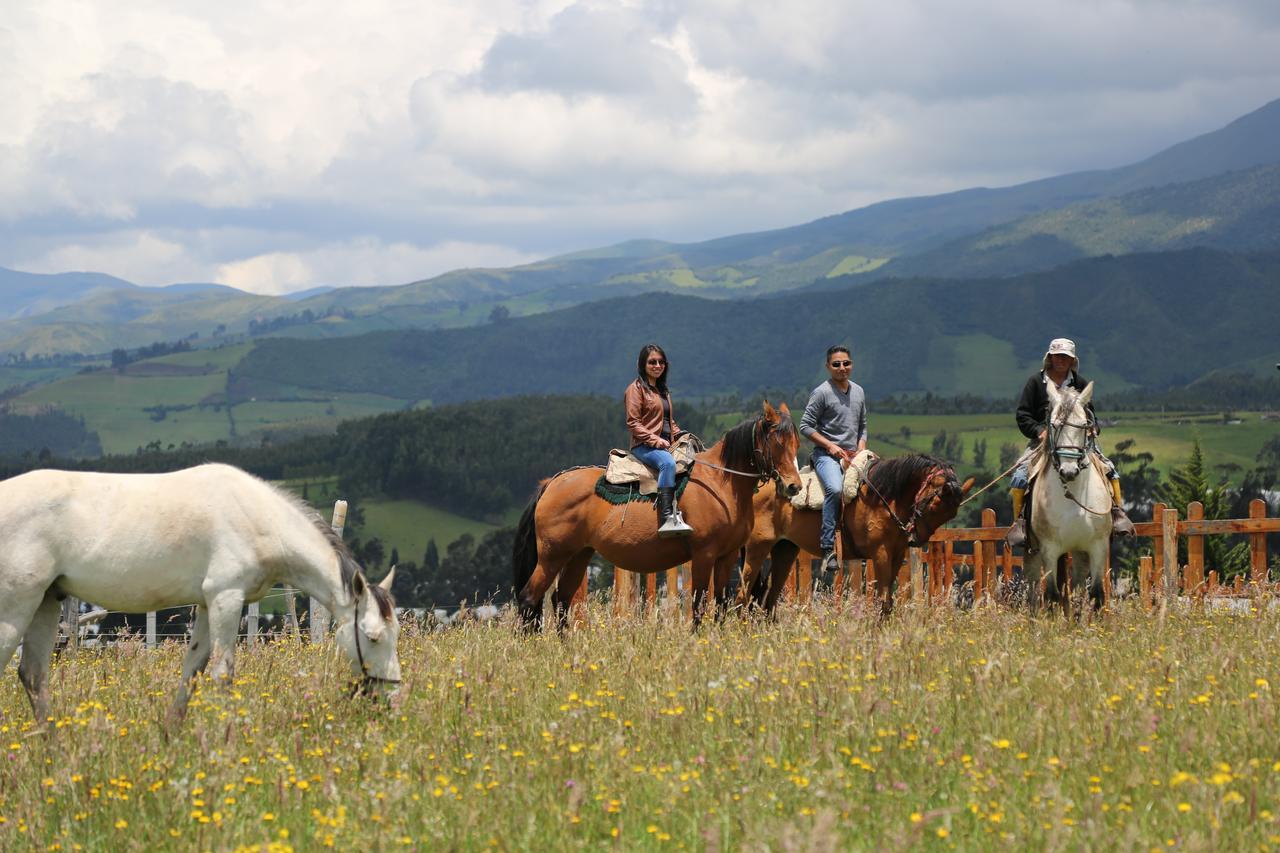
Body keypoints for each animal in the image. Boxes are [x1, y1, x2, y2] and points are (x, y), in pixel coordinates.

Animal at [0, 461, 399, 722]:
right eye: (372, 637)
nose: (393, 697)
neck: (257, 519)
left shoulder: (209, 605)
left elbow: (193, 671)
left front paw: (171, 737)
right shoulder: (226, 599)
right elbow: (223, 674)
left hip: (45, 602)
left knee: (34, 676)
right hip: (17, 607)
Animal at [509, 399, 798, 625]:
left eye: (795, 442)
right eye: (777, 442)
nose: (793, 486)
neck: (721, 482)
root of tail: (551, 483)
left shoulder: (726, 556)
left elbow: (720, 605)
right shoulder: (703, 555)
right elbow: (698, 605)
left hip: (578, 555)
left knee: (561, 599)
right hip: (551, 556)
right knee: (529, 598)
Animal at [737, 455, 972, 614]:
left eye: (951, 514)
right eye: (934, 505)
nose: (916, 539)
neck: (884, 497)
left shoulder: (896, 556)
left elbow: (888, 599)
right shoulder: (881, 554)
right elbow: (882, 600)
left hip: (785, 549)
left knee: (767, 598)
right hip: (757, 548)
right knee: (743, 594)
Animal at [1024, 379, 1116, 612]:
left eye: (1084, 425)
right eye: (1054, 425)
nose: (1069, 471)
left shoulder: (1098, 546)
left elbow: (1096, 595)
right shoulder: (1049, 549)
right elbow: (1051, 596)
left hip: (1080, 553)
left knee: (1077, 588)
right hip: (1034, 552)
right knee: (1034, 589)